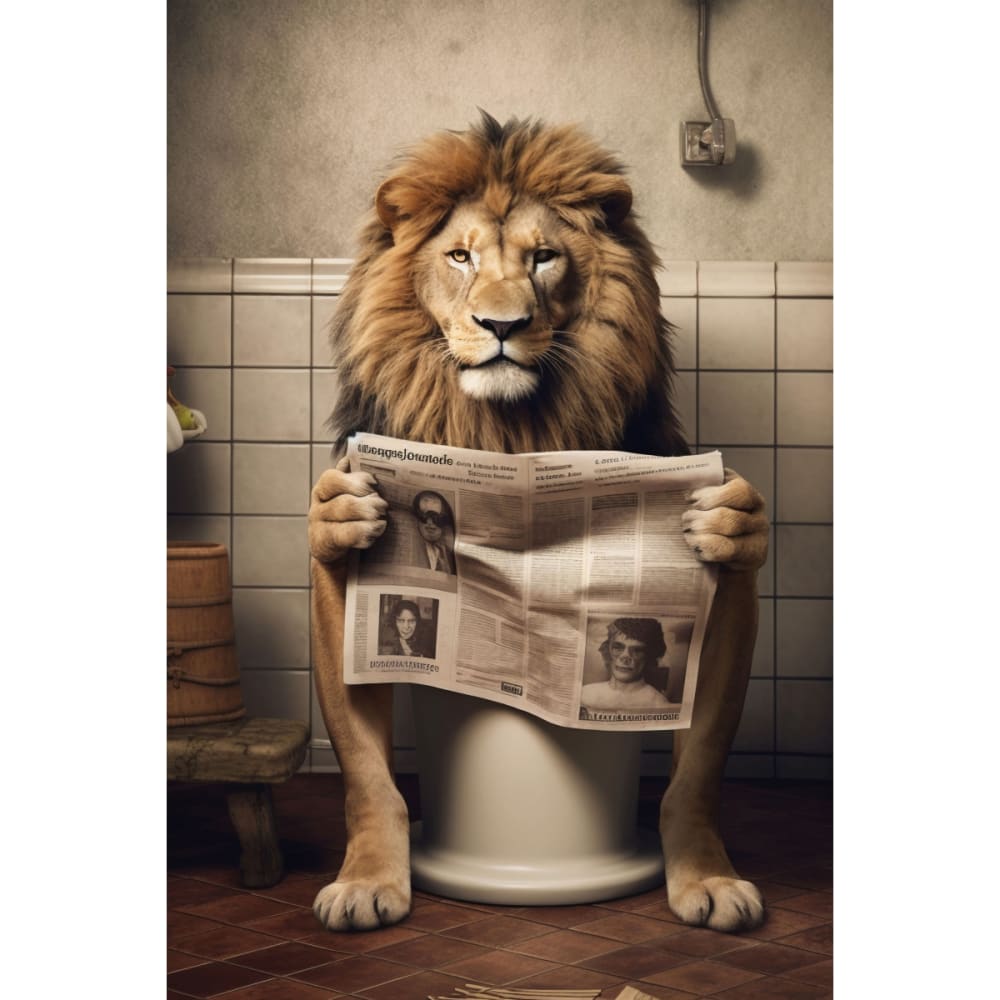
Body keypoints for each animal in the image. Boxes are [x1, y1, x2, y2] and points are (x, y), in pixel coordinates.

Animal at [308, 113, 769, 934]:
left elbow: (695, 778)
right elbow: (367, 777)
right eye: (460, 256)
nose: (502, 324)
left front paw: (708, 878)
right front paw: (366, 881)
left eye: (543, 257)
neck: (509, 431)